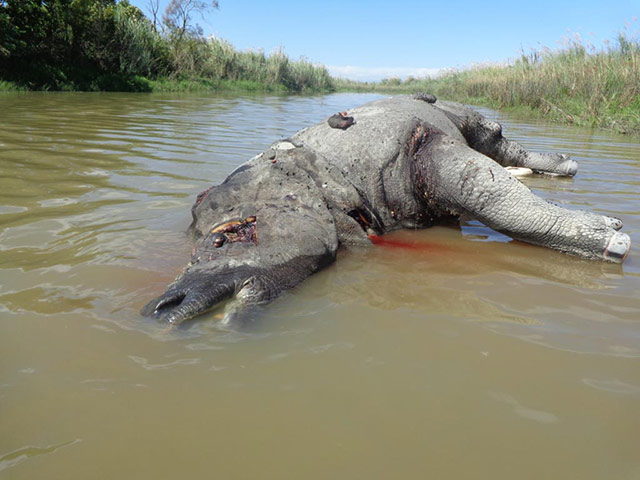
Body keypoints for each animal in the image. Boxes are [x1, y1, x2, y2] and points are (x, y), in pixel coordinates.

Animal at [141, 95, 631, 325]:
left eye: (229, 236)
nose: (167, 304)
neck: (330, 184)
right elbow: (490, 192)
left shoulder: (417, 146)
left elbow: (490, 195)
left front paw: (612, 238)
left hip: (471, 119)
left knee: (499, 142)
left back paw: (564, 165)